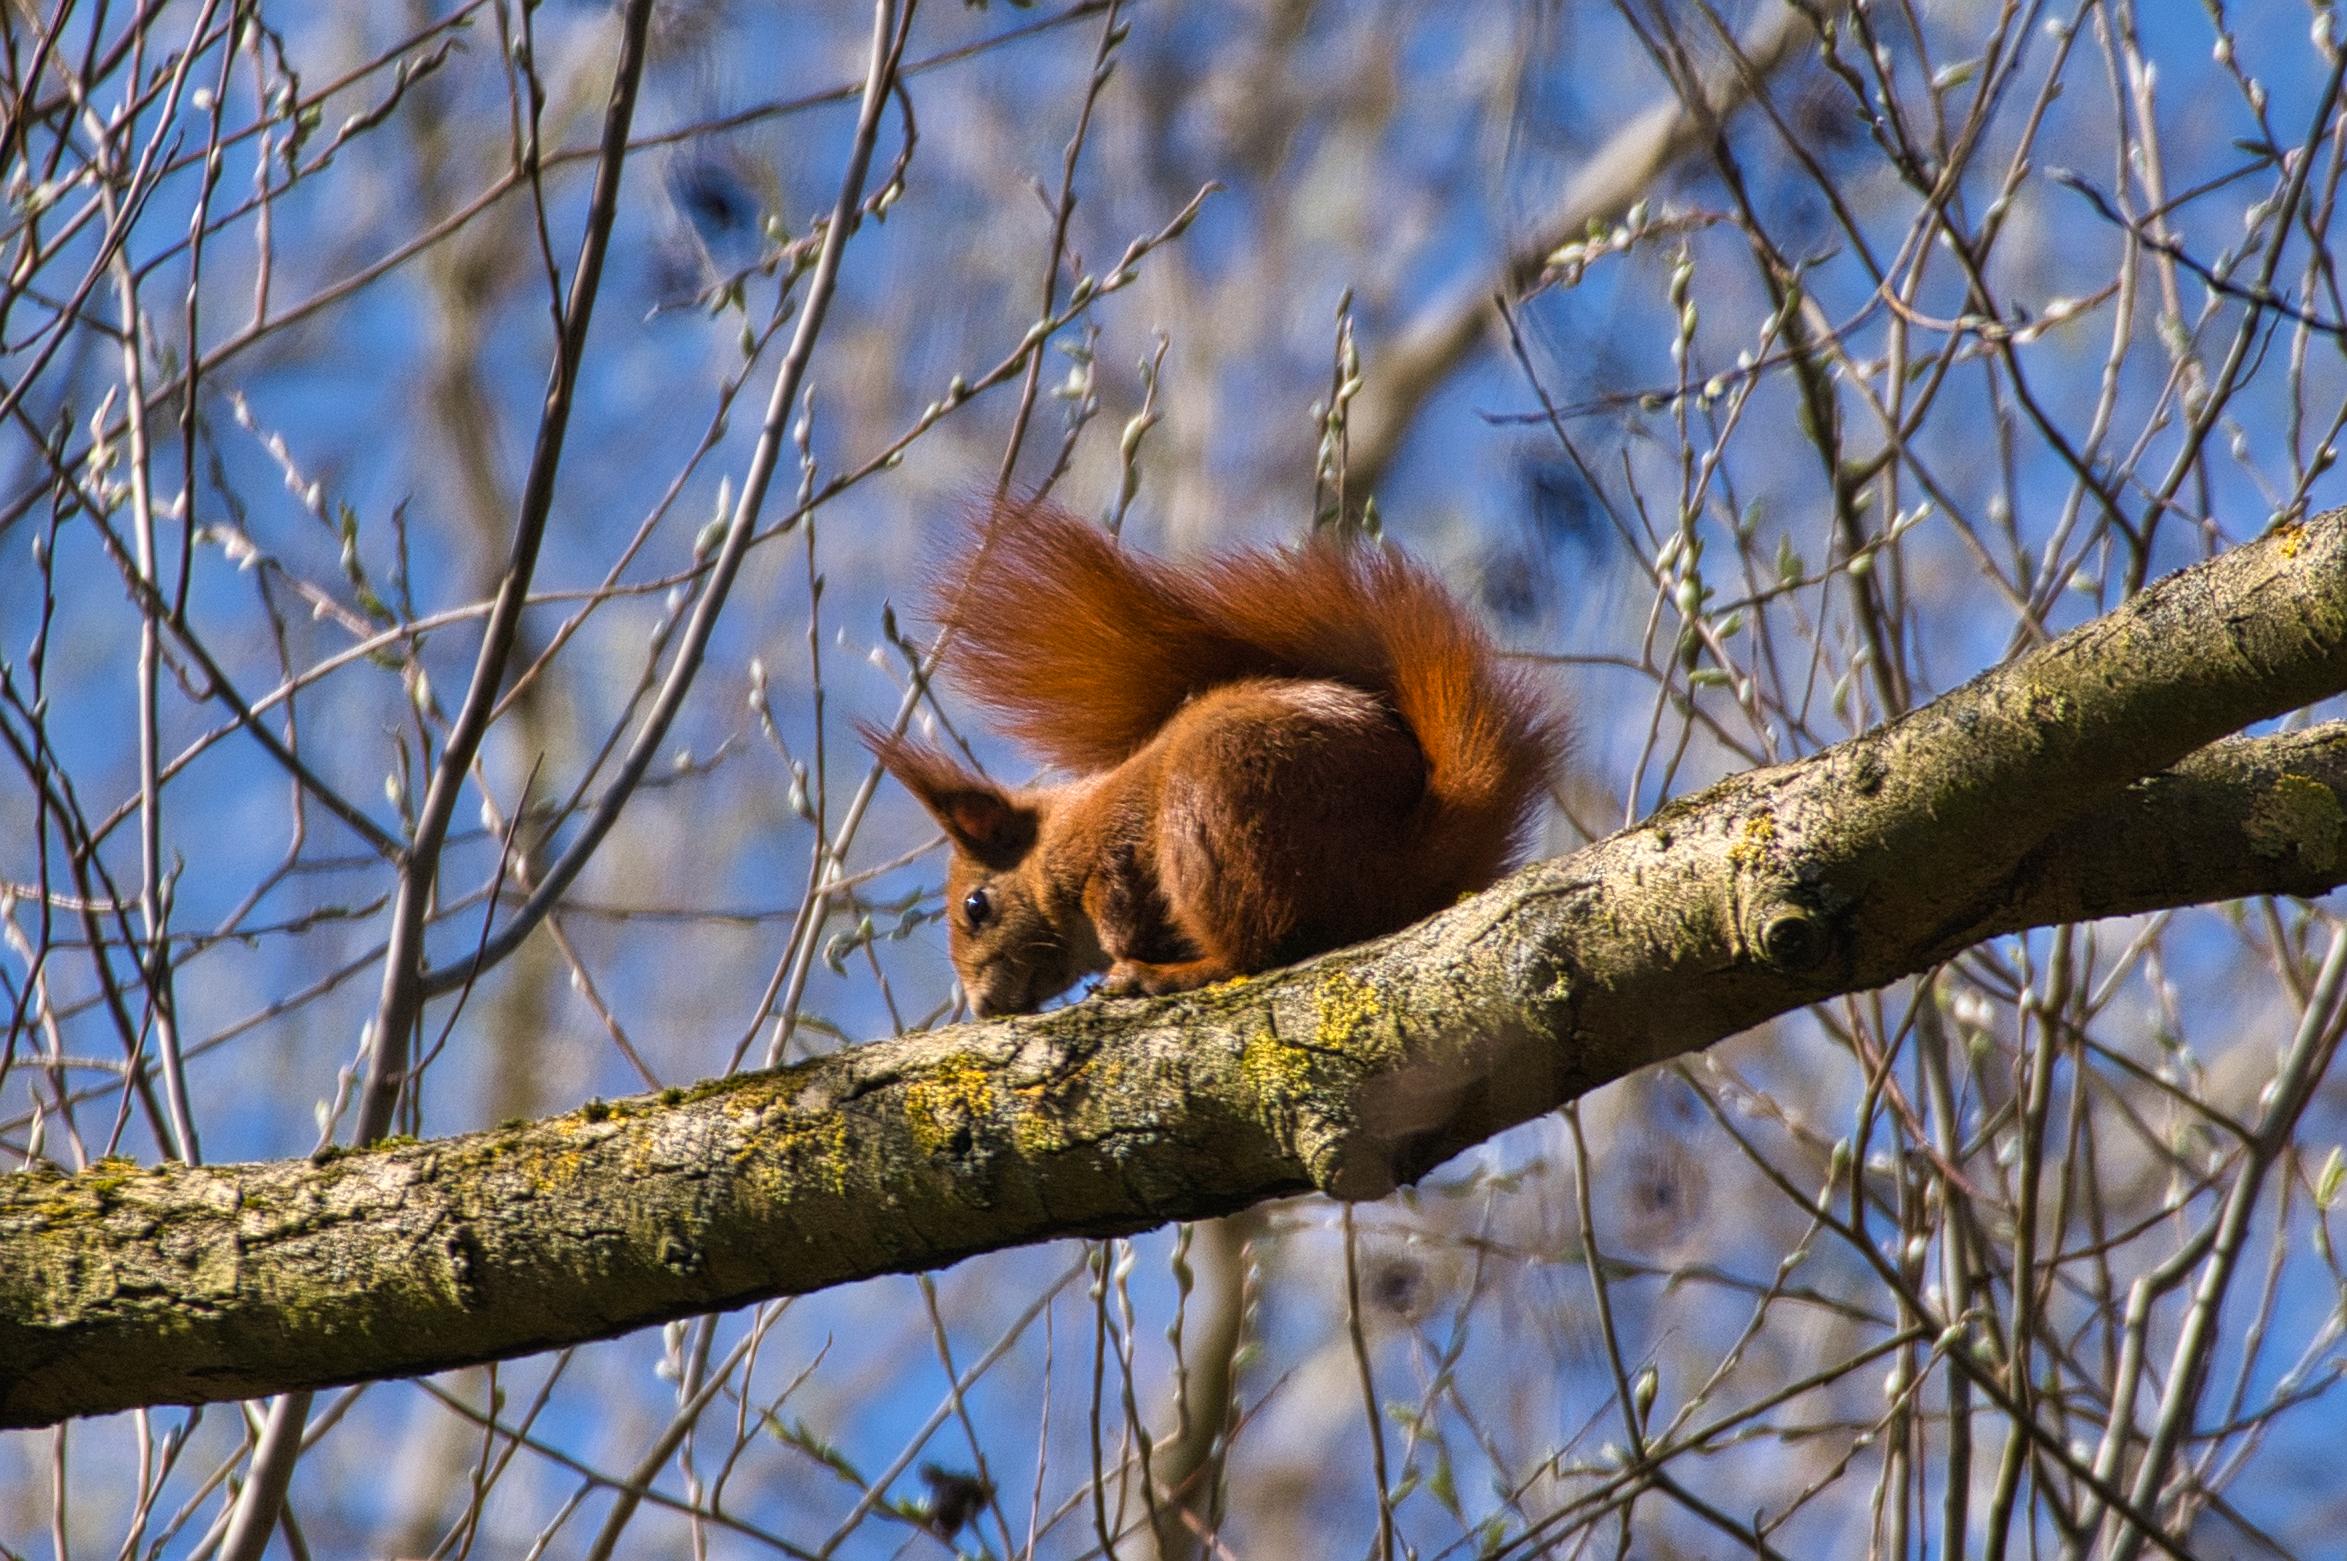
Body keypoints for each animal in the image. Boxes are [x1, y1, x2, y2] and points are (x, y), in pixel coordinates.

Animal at [863, 499, 1558, 1009]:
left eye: (975, 907)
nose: (983, 1008)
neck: (1063, 832)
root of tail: (1399, 863)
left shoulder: (1112, 851)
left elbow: (1116, 901)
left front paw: (1122, 952)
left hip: (1212, 807)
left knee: (1254, 950)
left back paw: (1160, 975)